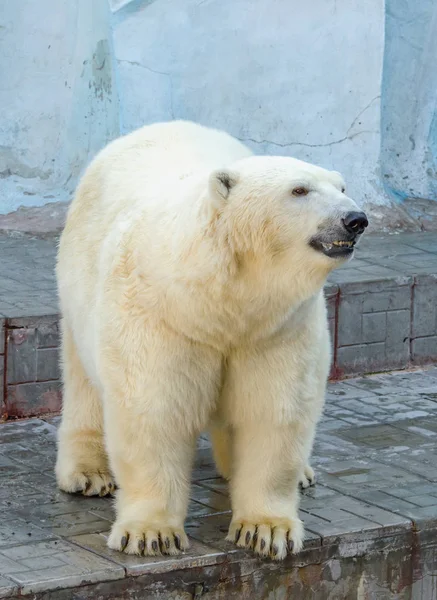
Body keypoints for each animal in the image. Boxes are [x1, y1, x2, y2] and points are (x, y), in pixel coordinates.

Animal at [55, 119, 368, 560]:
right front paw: (150, 534)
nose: (355, 218)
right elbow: (156, 410)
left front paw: (265, 530)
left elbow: (272, 410)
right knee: (83, 378)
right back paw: (88, 472)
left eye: (341, 186)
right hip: (78, 284)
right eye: (299, 190)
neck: (214, 297)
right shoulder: (159, 316)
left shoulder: (274, 329)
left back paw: (296, 472)